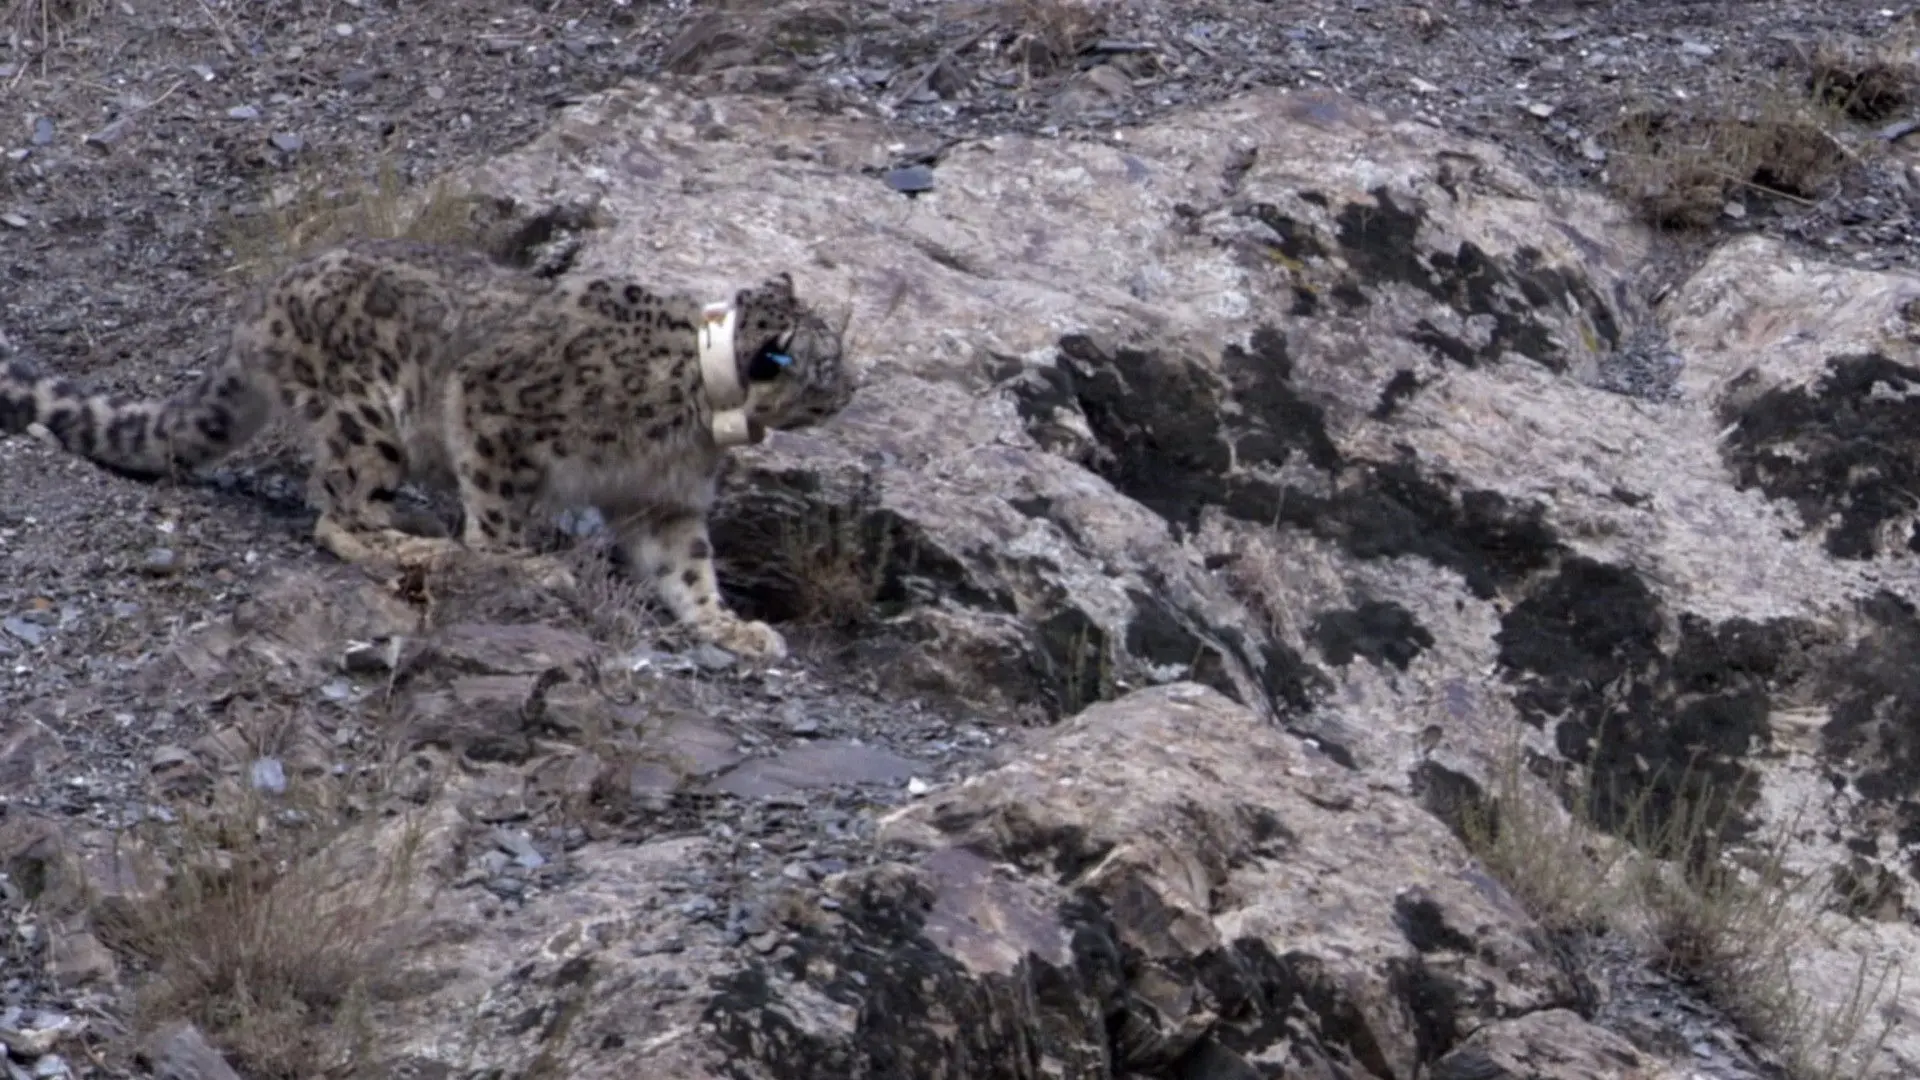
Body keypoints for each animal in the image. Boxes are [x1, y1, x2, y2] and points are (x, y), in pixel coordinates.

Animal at [0, 237, 853, 660]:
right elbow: (499, 512)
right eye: (830, 360)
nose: (855, 388)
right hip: (367, 422)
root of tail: (261, 305)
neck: (694, 418)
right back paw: (419, 544)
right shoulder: (496, 407)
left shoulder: (663, 500)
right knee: (339, 516)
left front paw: (728, 628)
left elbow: (688, 570)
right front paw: (523, 563)